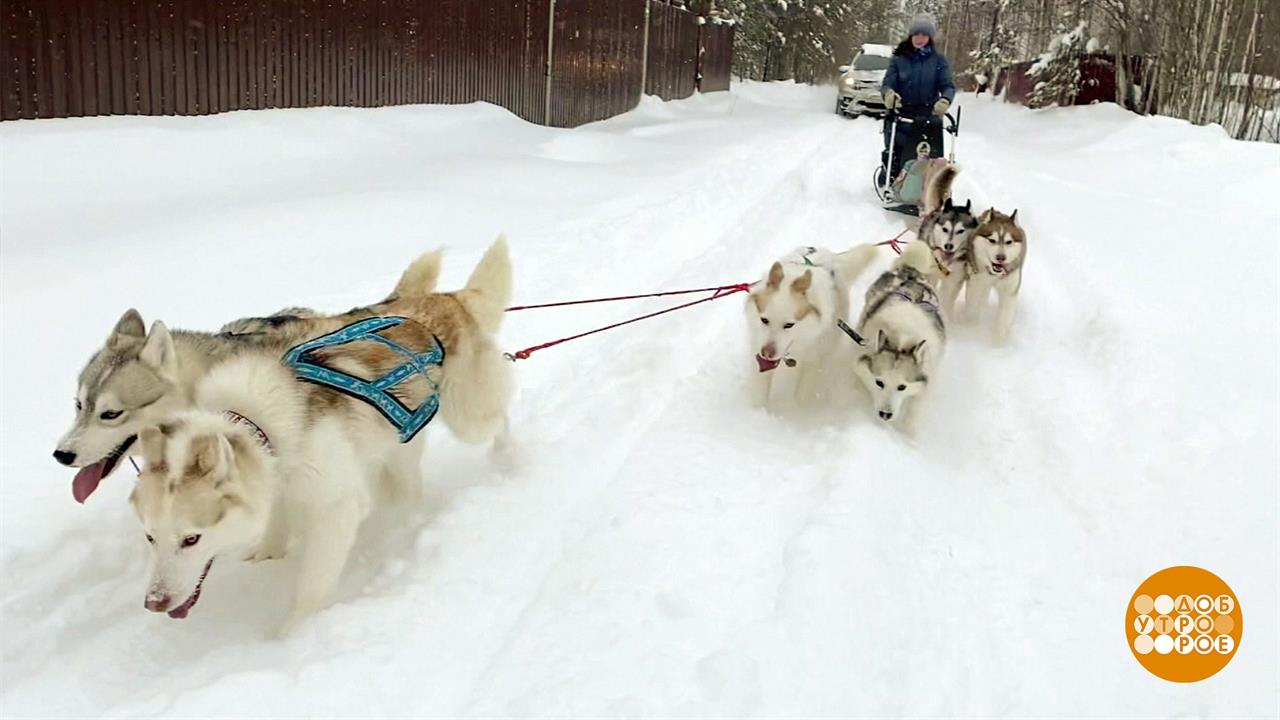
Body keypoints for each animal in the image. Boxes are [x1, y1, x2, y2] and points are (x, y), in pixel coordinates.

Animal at [53, 238, 514, 502]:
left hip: (469, 414)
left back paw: (509, 456)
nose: (61, 454)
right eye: (77, 405)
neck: (208, 377)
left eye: (111, 413)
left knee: (500, 416)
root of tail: (450, 297)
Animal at [855, 240, 947, 425]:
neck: (901, 341)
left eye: (902, 387)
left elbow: (914, 409)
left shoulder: (926, 377)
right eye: (879, 382)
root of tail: (909, 272)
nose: (885, 414)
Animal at [962, 207, 1024, 340]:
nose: (1001, 257)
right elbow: (972, 308)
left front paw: (998, 338)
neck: (995, 275)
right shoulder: (976, 284)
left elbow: (1005, 316)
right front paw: (971, 329)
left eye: (1009, 242)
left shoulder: (1009, 290)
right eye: (992, 240)